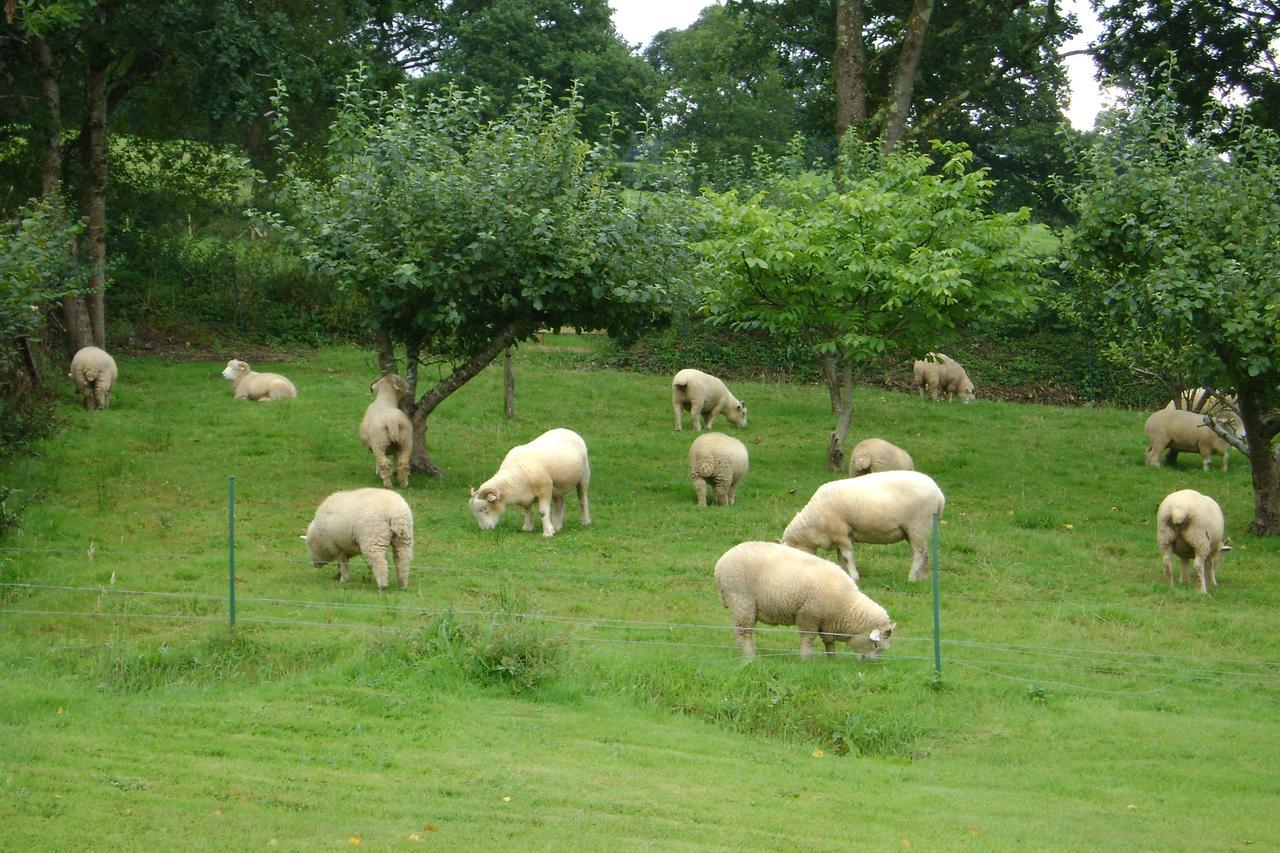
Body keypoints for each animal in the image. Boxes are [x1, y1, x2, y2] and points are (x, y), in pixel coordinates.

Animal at [711, 537, 901, 655]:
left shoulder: (826, 623)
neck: (846, 607)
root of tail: (720, 564)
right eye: (875, 644)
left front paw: (832, 659)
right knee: (743, 633)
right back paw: (750, 657)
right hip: (741, 601)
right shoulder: (808, 615)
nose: (871, 663)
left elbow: (829, 643)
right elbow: (808, 640)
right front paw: (806, 659)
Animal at [773, 468, 947, 581]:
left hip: (917, 526)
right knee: (926, 554)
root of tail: (939, 495)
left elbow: (848, 556)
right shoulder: (839, 536)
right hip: (920, 530)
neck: (812, 524)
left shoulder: (841, 533)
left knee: (919, 554)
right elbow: (840, 557)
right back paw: (923, 578)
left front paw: (854, 576)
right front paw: (843, 572)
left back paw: (911, 578)